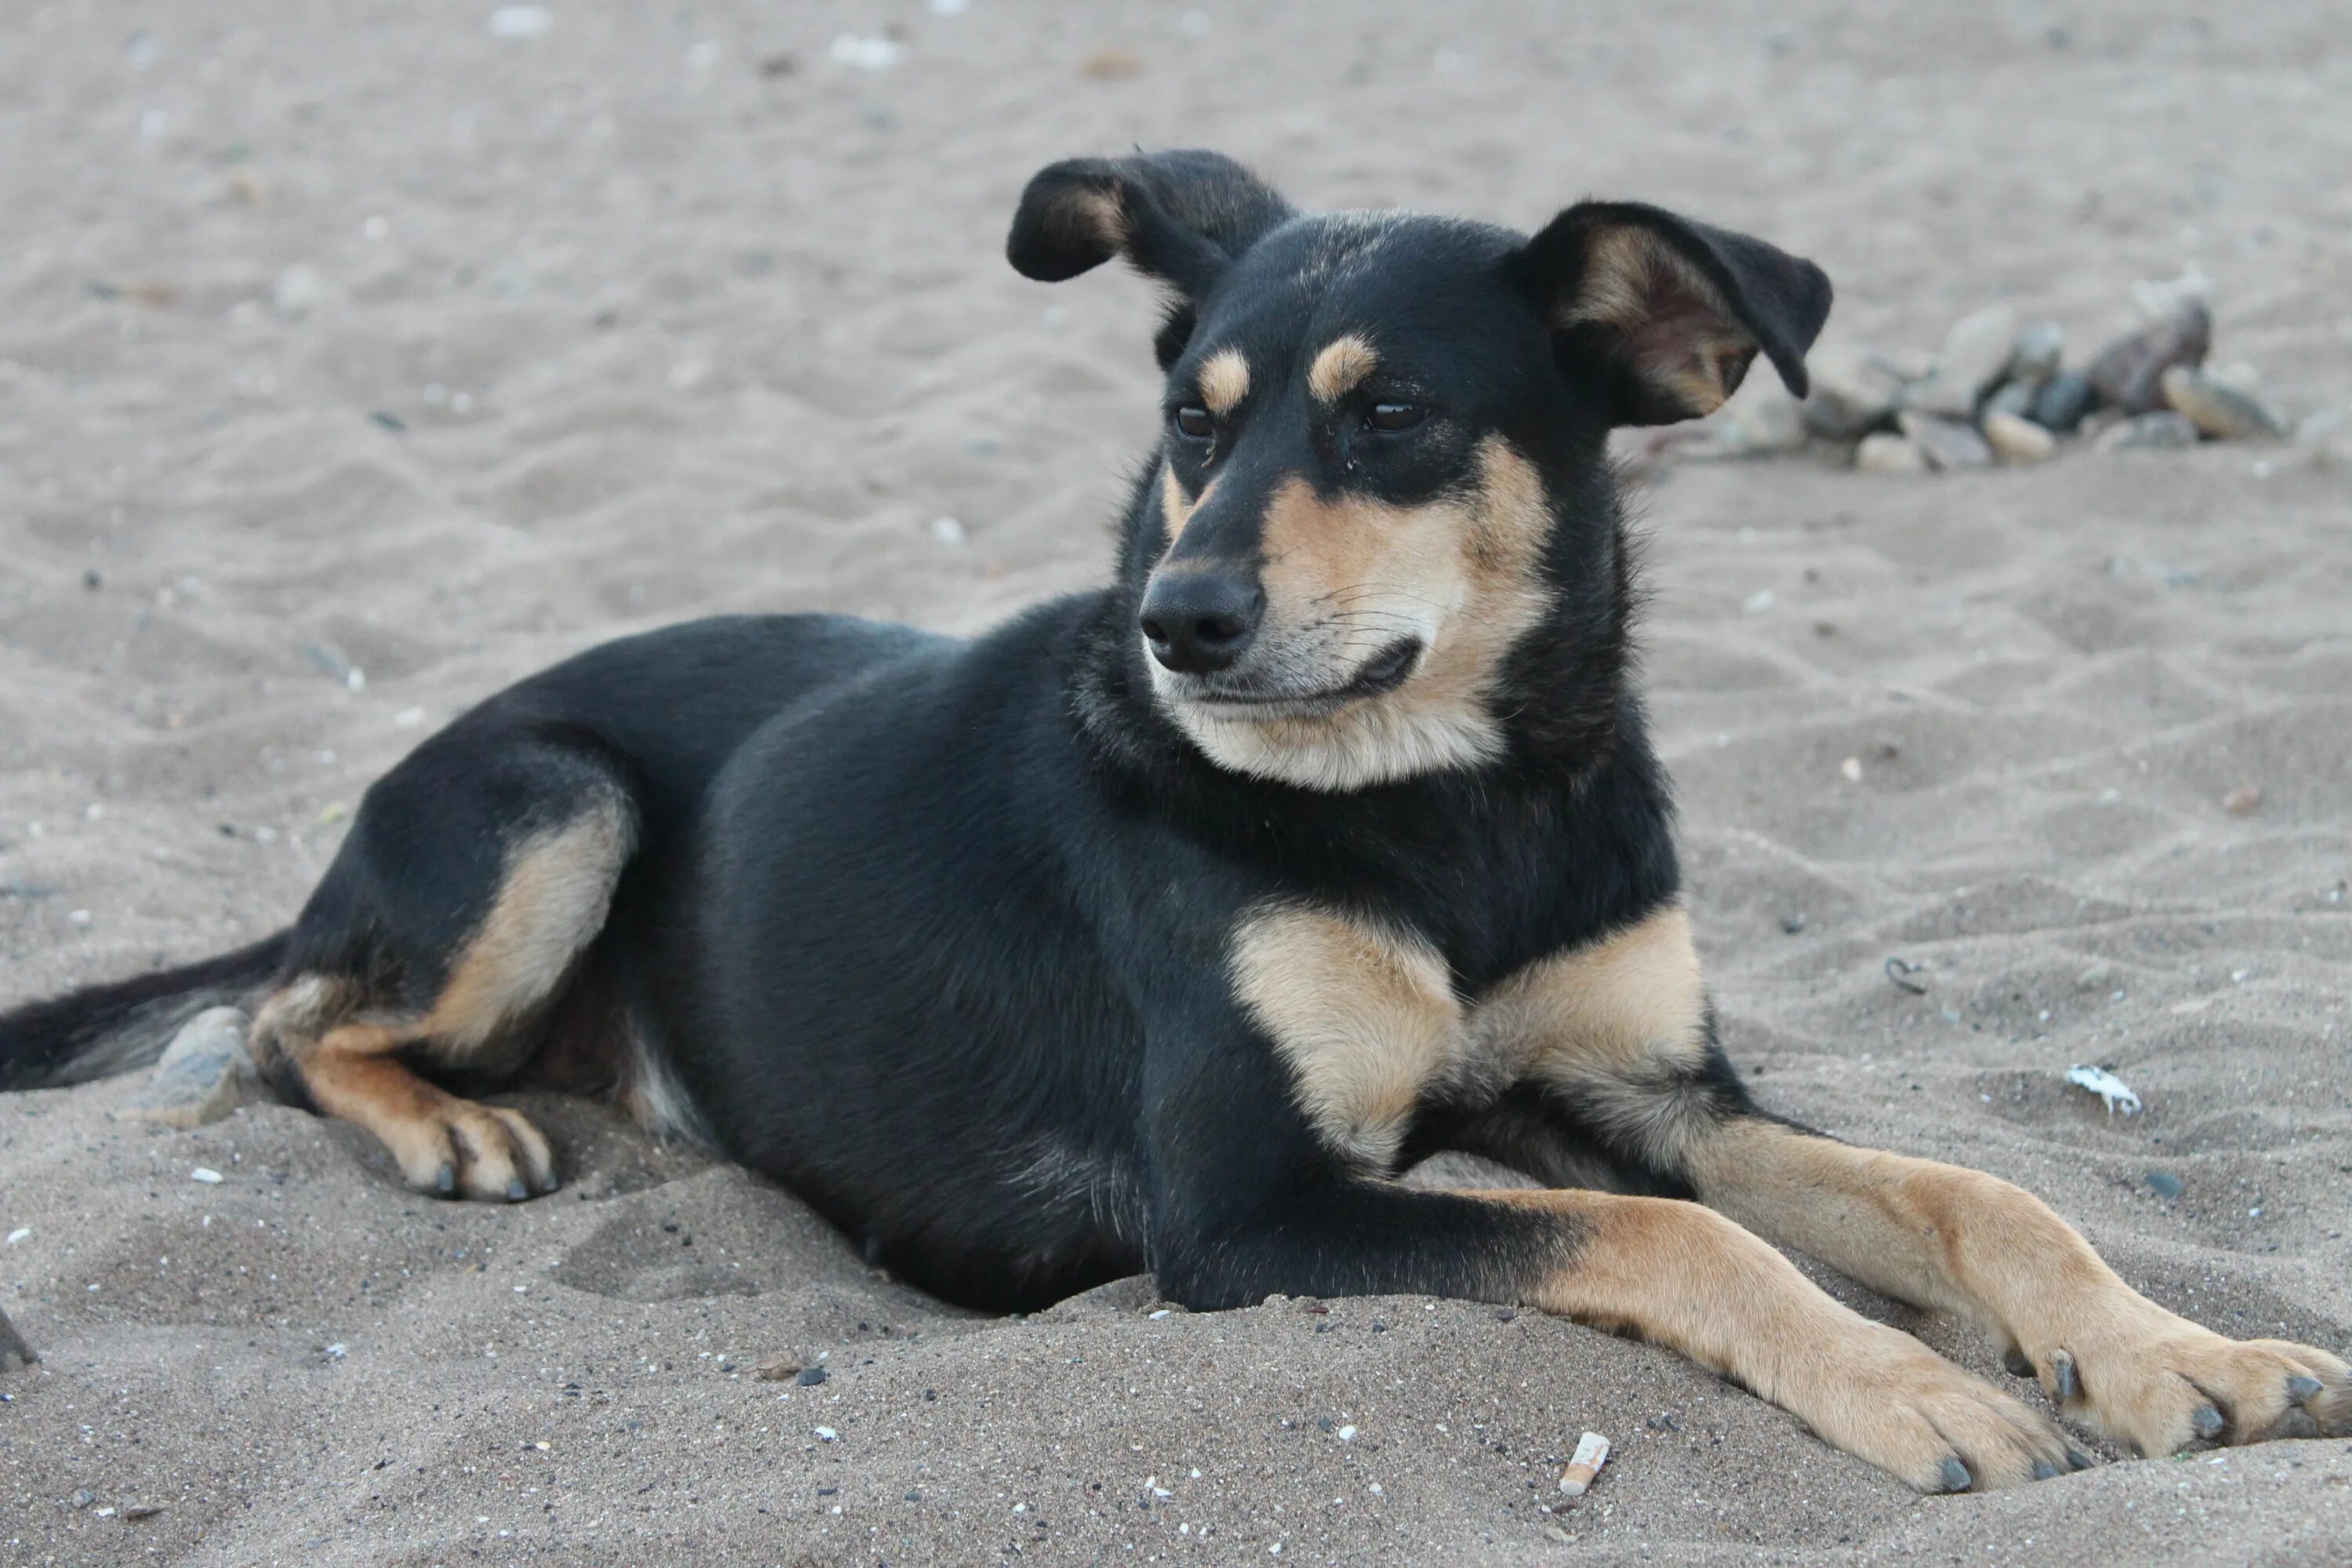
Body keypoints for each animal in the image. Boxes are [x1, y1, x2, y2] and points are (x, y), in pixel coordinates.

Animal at [0, 150, 2343, 1495]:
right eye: (1188, 424)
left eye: (1391, 415)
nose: (1176, 619)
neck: (1450, 804)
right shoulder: (1251, 1208)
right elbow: (1683, 1242)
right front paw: (1918, 1391)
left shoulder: (1642, 1088)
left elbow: (1969, 1192)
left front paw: (2184, 1355)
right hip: (544, 800)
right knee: (281, 1023)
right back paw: (445, 1124)